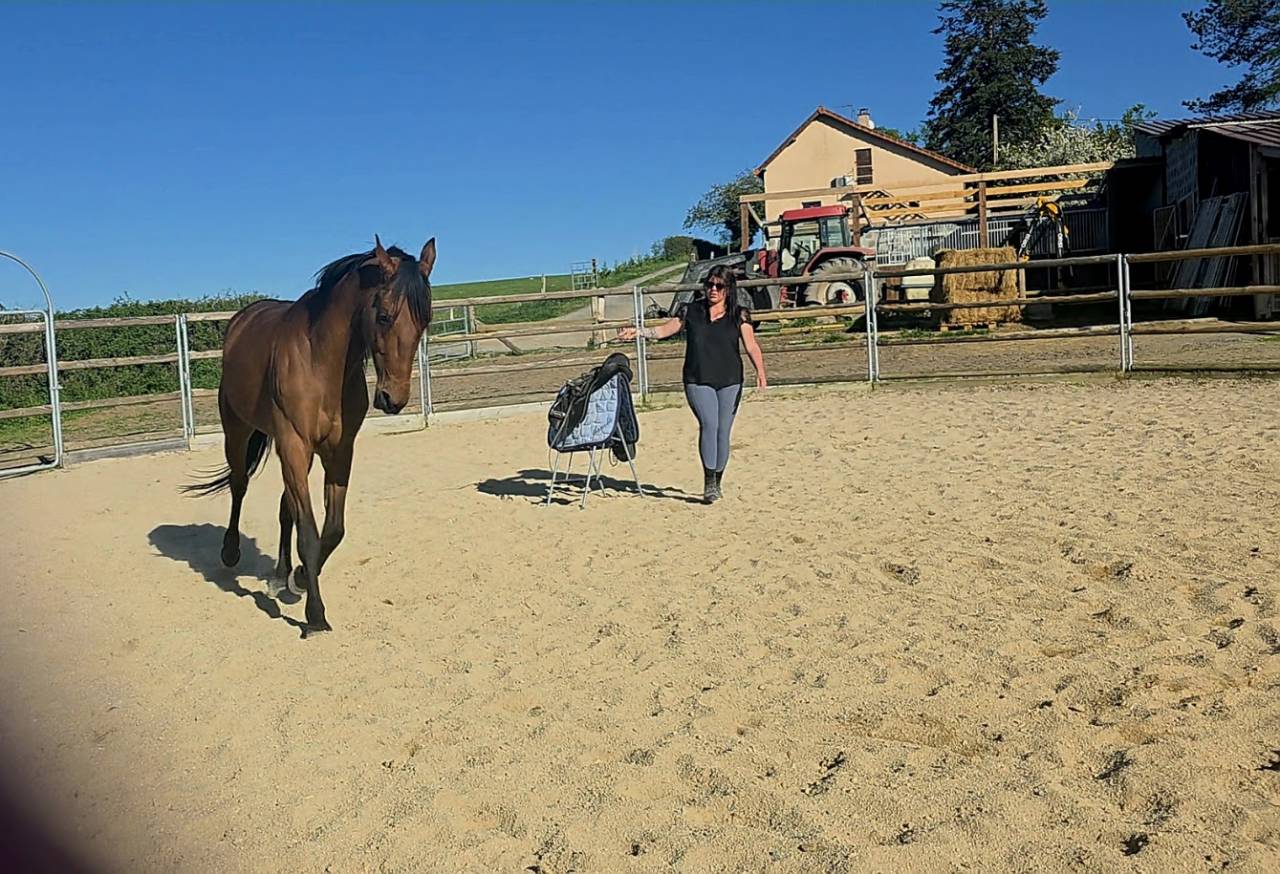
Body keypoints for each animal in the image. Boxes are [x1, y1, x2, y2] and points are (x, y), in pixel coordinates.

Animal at [184, 236, 436, 636]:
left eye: (425, 320)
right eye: (384, 316)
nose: (392, 399)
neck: (321, 360)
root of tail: (242, 319)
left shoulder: (339, 452)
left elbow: (332, 530)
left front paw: (302, 576)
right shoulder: (294, 446)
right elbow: (309, 533)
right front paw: (315, 615)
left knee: (284, 506)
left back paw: (281, 574)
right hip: (238, 431)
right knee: (239, 485)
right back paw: (231, 552)